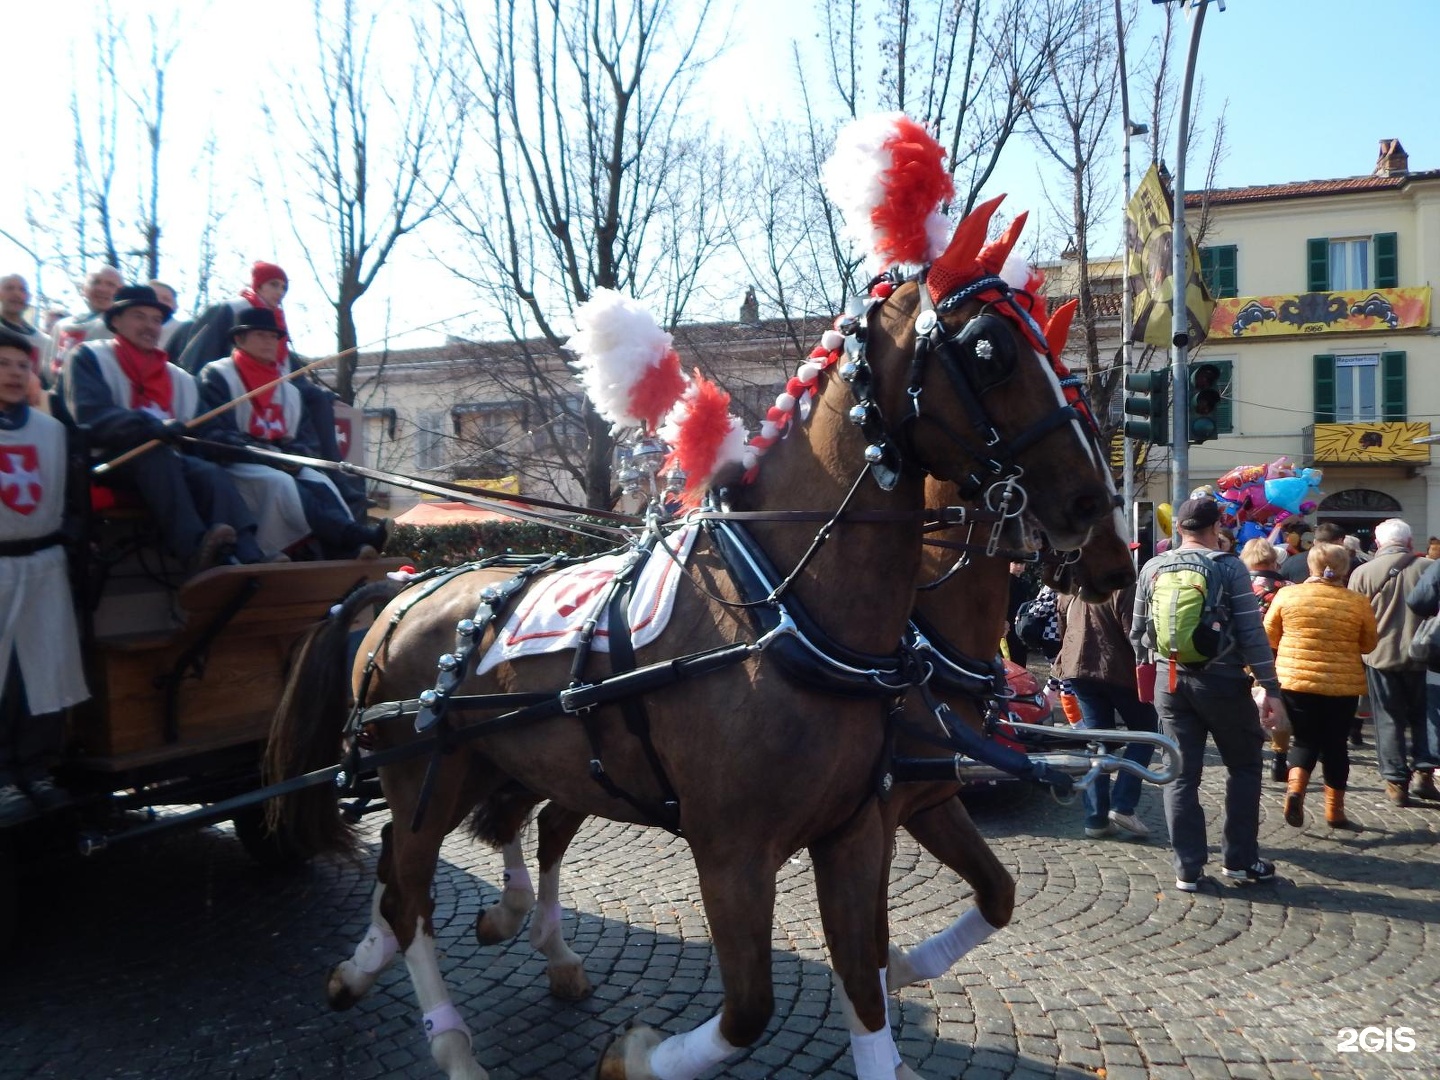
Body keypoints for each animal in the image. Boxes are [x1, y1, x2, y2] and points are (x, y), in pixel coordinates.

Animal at [264, 221, 1111, 1080]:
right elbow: (749, 1010)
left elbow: (890, 961)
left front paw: (892, 999)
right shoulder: (736, 853)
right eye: (989, 350)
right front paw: (635, 1057)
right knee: (411, 893)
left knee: (441, 861)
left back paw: (437, 957)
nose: (1096, 507)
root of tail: (403, 589)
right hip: (425, 778)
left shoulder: (861, 827)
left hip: (514, 766)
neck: (784, 618)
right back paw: (453, 1039)